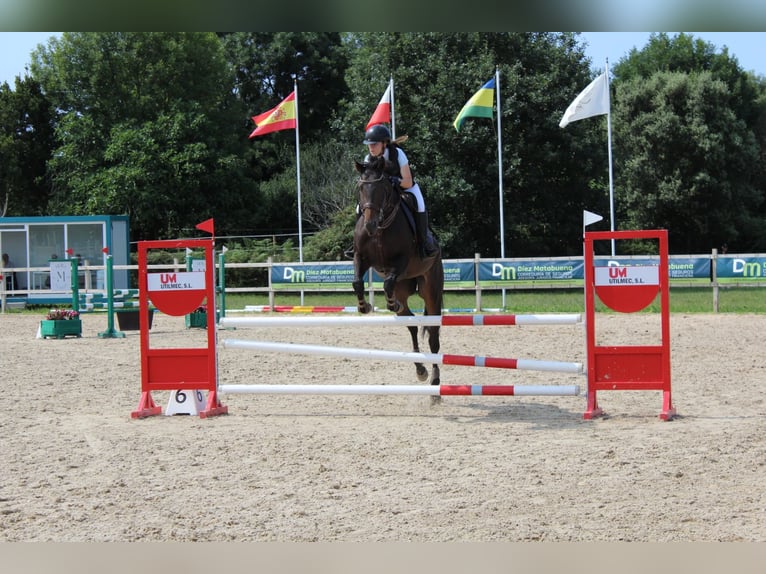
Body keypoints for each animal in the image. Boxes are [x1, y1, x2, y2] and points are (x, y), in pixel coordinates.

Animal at [352, 158, 444, 390]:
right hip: (403, 288)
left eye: (382, 189)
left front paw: (389, 303)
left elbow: (386, 283)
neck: (381, 227)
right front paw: (363, 306)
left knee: (433, 335)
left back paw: (435, 380)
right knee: (411, 324)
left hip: (431, 290)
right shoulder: (360, 257)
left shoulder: (402, 261)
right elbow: (357, 281)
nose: (370, 225)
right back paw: (420, 369)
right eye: (361, 188)